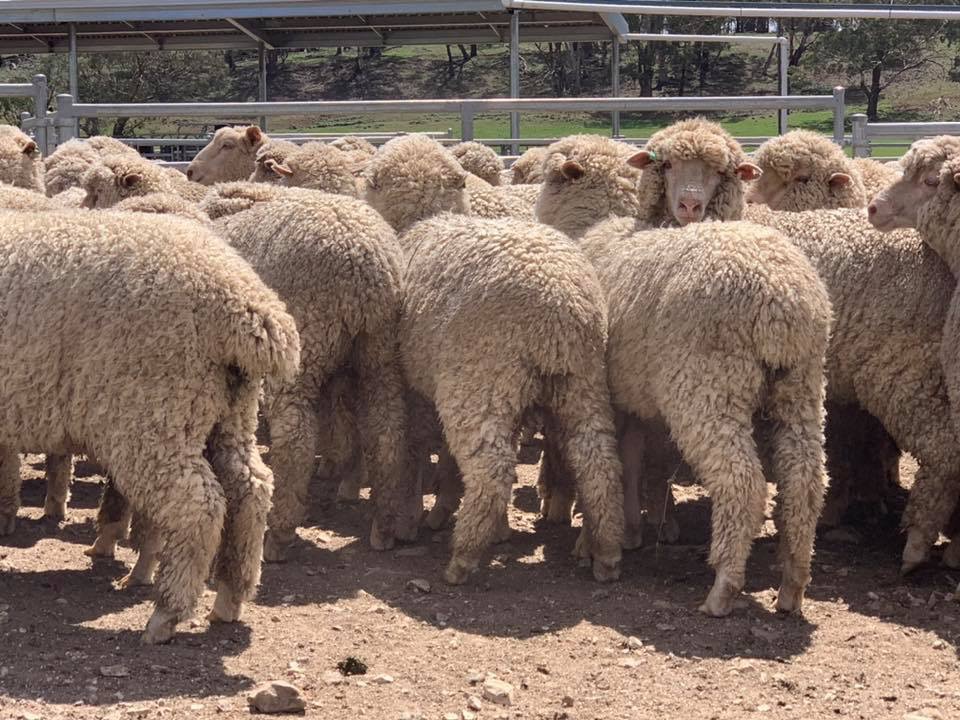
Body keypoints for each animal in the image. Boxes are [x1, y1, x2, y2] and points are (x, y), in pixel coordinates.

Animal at [0, 209, 300, 643]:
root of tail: (249, 304)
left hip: (152, 409)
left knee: (199, 504)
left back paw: (166, 613)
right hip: (224, 411)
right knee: (250, 490)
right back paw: (229, 599)